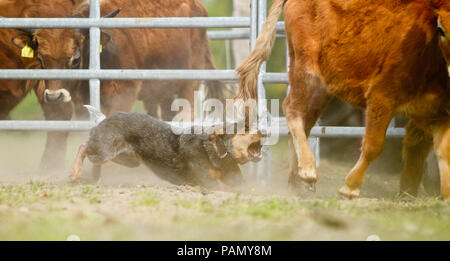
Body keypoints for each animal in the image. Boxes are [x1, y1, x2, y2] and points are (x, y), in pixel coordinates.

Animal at [12, 0, 225, 171]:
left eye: (75, 59)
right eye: (41, 59)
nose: (54, 96)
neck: (100, 53)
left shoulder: (124, 92)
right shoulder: (83, 101)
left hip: (190, 83)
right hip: (162, 92)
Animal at [237, 0, 450, 199]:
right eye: (441, 29)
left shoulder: (438, 115)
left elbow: (441, 151)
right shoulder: (381, 98)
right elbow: (374, 145)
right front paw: (350, 188)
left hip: (322, 88)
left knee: (304, 123)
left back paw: (296, 182)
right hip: (306, 71)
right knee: (292, 109)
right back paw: (308, 170)